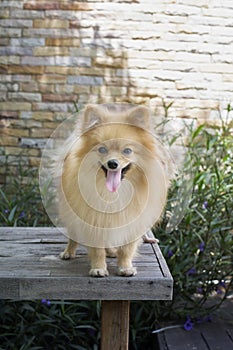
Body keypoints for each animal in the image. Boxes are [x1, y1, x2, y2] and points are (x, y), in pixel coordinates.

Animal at [59, 103, 174, 276]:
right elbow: (97, 249)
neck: (114, 193)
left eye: (127, 151)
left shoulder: (131, 221)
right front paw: (98, 268)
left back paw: (113, 251)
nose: (112, 163)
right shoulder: (93, 219)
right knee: (73, 234)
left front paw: (125, 267)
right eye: (102, 150)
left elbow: (127, 249)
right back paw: (69, 252)